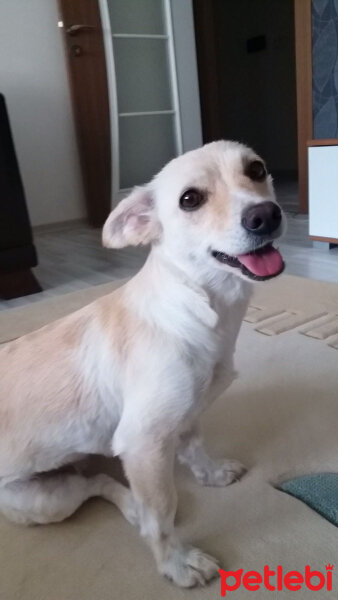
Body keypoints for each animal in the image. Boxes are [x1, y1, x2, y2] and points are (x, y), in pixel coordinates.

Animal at [0, 142, 286, 584]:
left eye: (256, 170)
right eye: (190, 199)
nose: (266, 215)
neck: (201, 306)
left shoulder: (184, 415)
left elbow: (196, 448)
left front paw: (211, 474)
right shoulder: (144, 443)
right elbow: (161, 516)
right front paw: (176, 563)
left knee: (97, 477)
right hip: (44, 501)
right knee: (97, 485)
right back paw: (134, 507)